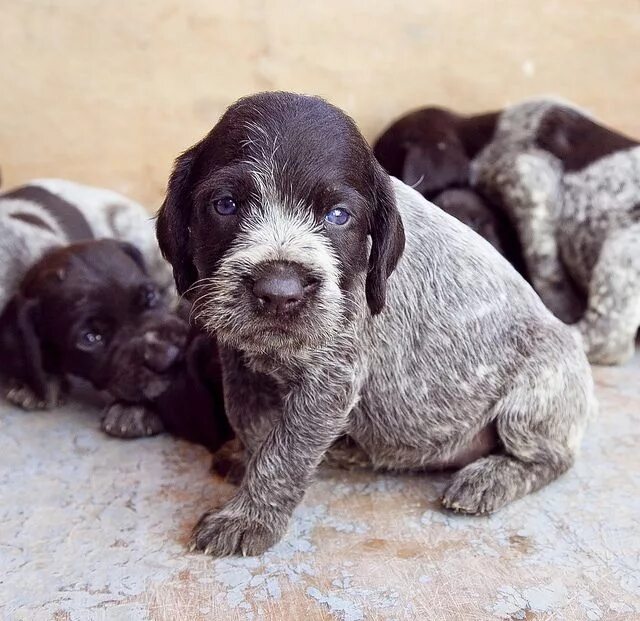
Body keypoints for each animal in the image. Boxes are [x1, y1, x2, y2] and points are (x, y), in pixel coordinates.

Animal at [155, 92, 596, 556]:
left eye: (338, 216)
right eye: (225, 205)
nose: (279, 291)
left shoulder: (332, 379)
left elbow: (284, 453)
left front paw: (250, 517)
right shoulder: (241, 362)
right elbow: (251, 425)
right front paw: (245, 464)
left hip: (535, 398)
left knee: (552, 457)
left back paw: (490, 478)